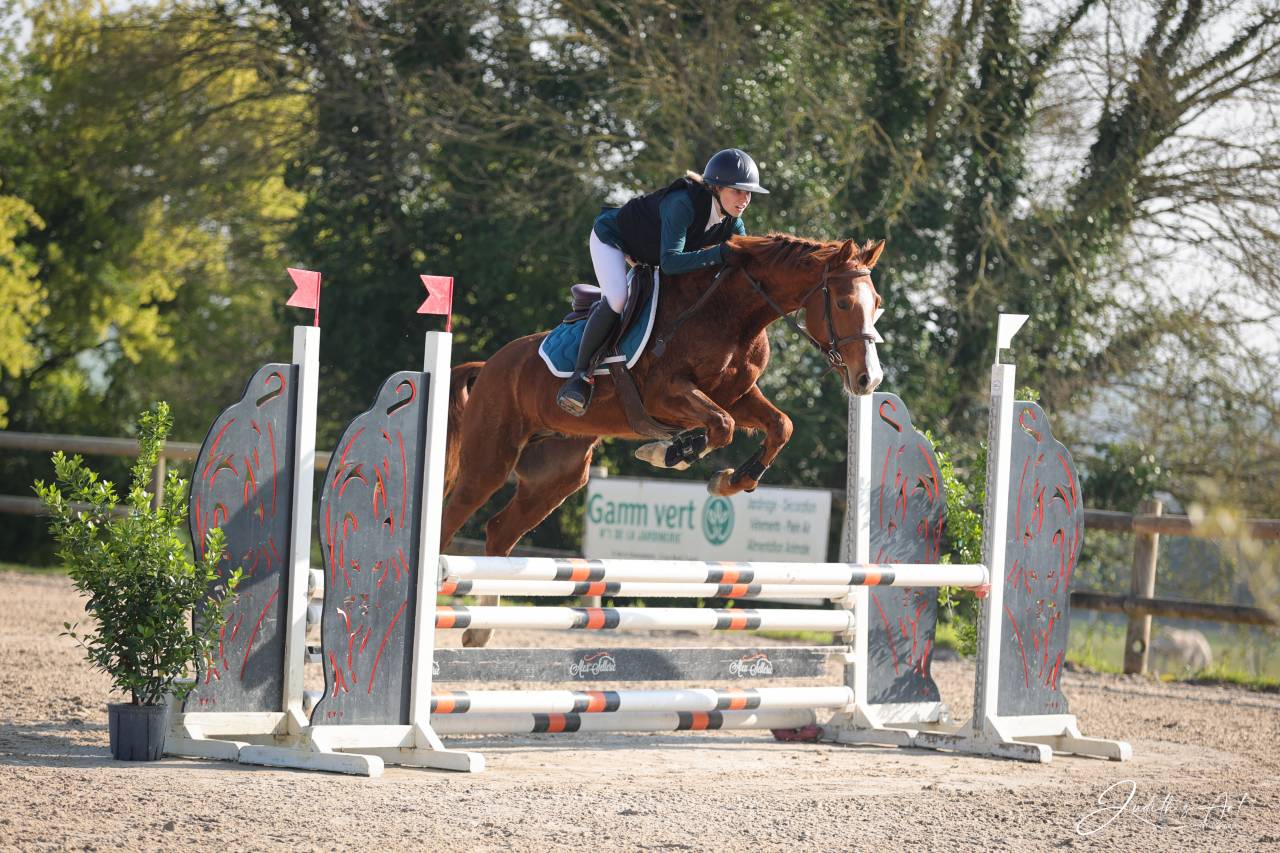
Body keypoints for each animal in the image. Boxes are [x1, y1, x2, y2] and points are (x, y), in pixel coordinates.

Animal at [441, 233, 886, 645]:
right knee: (453, 517)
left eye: (877, 302)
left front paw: (730, 481)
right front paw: (667, 452)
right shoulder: (665, 394)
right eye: (843, 304)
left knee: (500, 531)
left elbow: (779, 425)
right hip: (490, 462)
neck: (732, 315)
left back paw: (479, 632)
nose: (869, 379)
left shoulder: (739, 395)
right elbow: (721, 425)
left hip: (557, 478)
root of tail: (489, 364)